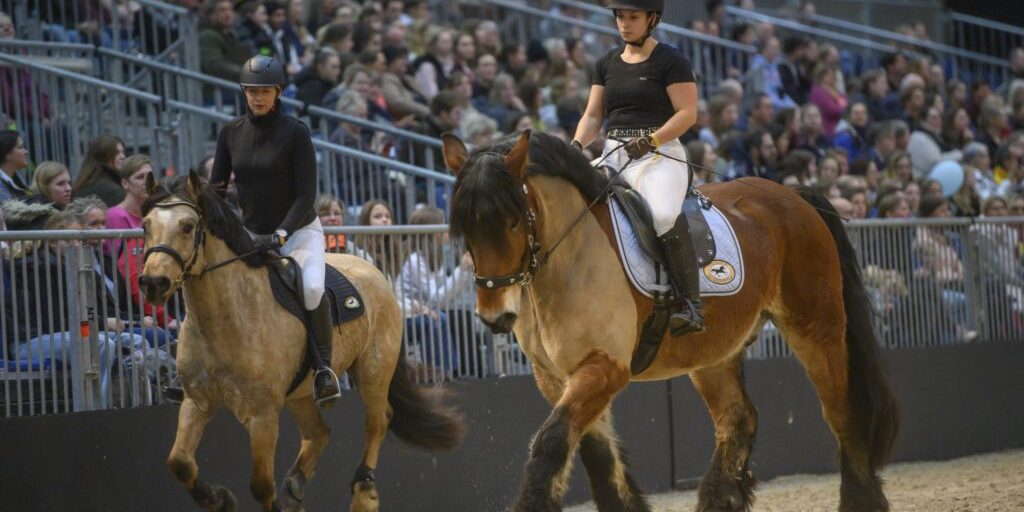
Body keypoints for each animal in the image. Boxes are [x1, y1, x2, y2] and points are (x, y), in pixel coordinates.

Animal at [138, 171, 464, 512]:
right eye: (145, 225)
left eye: (188, 226)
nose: (153, 283)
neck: (226, 319)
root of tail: (373, 270)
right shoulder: (196, 402)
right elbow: (179, 462)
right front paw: (218, 500)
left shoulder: (263, 415)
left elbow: (261, 485)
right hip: (301, 390)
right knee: (319, 432)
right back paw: (294, 487)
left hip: (373, 371)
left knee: (377, 422)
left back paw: (363, 492)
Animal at [444, 131, 898, 512]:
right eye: (465, 228)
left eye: (513, 220)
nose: (495, 317)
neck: (569, 258)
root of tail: (791, 194)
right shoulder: (556, 376)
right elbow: (596, 452)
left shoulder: (605, 367)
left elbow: (552, 442)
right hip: (714, 353)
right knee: (737, 419)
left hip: (816, 328)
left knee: (841, 412)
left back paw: (861, 500)